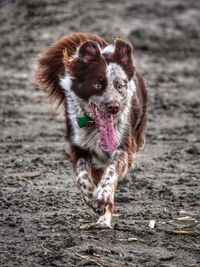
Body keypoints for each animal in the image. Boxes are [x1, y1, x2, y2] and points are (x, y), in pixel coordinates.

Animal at [35, 31, 148, 228]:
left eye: (120, 85)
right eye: (97, 84)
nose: (114, 107)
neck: (95, 128)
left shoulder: (123, 148)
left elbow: (111, 173)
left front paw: (102, 195)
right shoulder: (78, 147)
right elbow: (82, 177)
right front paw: (90, 197)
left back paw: (104, 219)